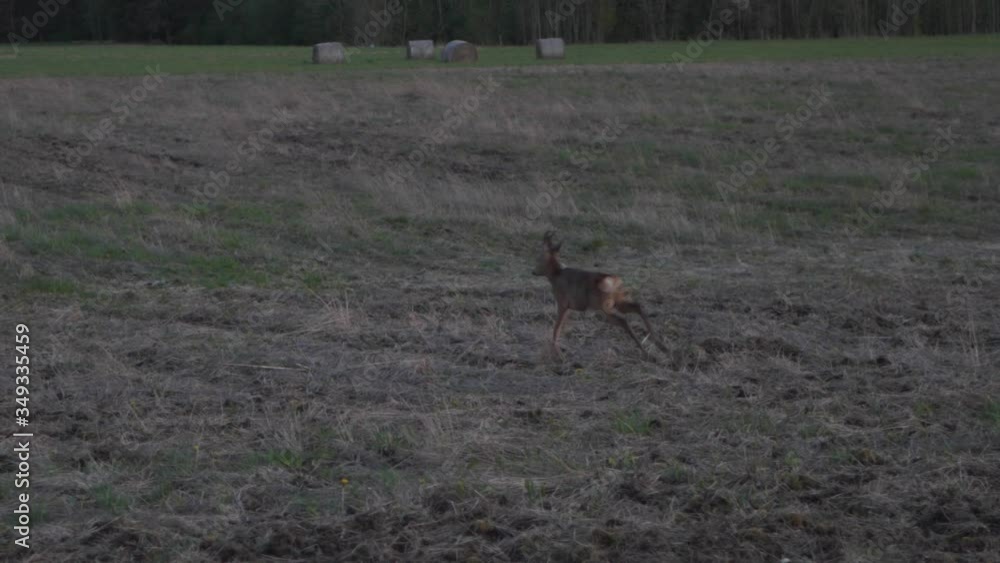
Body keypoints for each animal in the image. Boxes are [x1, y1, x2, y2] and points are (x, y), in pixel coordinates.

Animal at [532, 231, 669, 358]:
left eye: (539, 258)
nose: (533, 271)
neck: (556, 274)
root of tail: (612, 280)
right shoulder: (569, 307)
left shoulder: (563, 303)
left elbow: (557, 328)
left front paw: (557, 353)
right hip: (618, 300)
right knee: (637, 306)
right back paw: (661, 346)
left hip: (604, 306)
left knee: (623, 320)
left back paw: (647, 352)